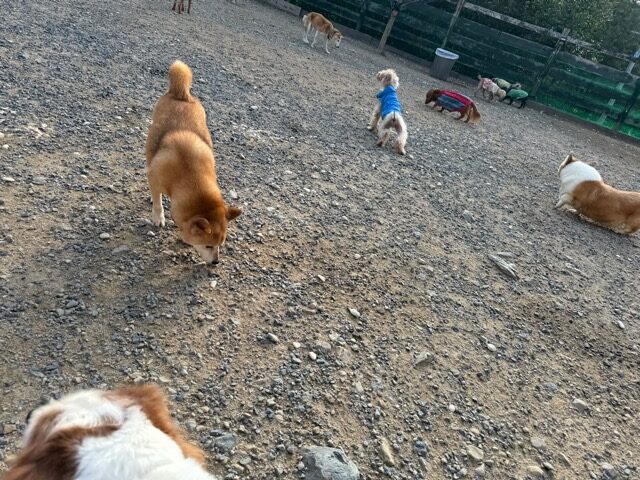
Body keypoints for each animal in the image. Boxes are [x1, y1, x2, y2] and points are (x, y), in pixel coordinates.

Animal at [146, 61, 242, 264]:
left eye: (220, 244)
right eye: (208, 245)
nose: (216, 263)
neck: (190, 175)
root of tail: (181, 94)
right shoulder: (155, 176)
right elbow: (158, 202)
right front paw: (158, 217)